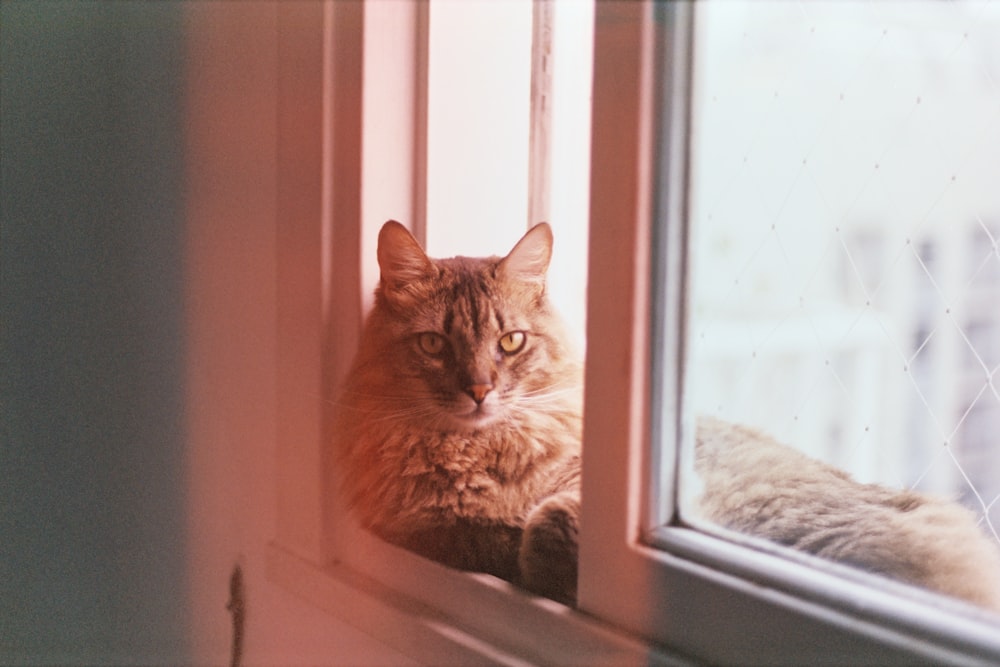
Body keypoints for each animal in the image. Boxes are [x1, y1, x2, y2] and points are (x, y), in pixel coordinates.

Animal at [336, 220, 1000, 616]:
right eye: (434, 345)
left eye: (511, 342)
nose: (479, 391)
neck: (481, 452)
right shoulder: (428, 528)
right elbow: (495, 536)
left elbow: (548, 521)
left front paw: (552, 563)